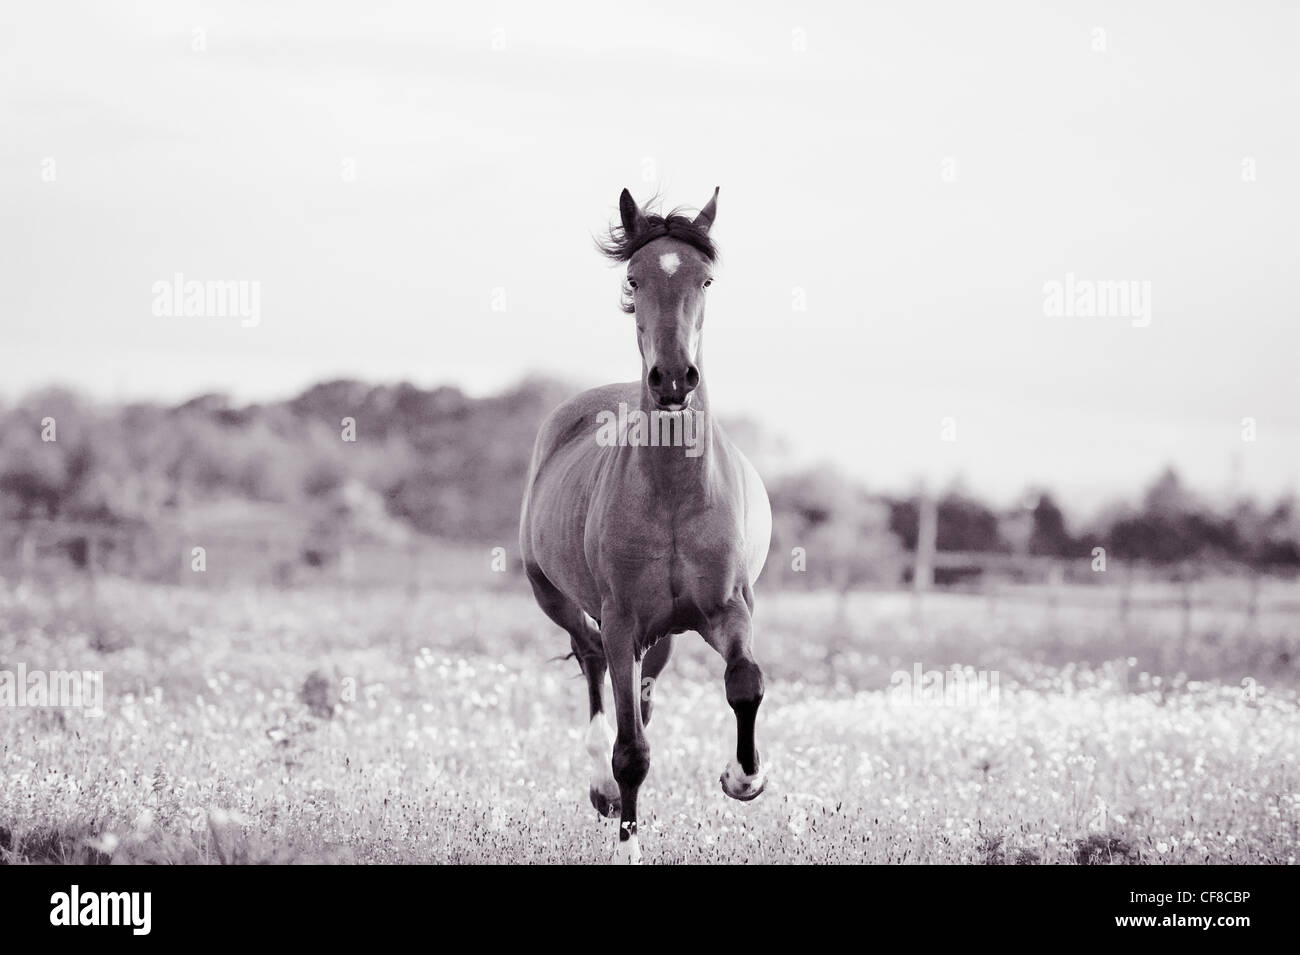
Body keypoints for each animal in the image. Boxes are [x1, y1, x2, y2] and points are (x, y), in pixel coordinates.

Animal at [518, 187, 772, 863]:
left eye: (705, 278)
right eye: (634, 277)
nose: (674, 378)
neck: (675, 496)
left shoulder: (728, 609)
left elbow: (745, 682)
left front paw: (744, 777)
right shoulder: (622, 620)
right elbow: (631, 750)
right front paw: (626, 833)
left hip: (666, 631)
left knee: (646, 689)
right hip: (556, 596)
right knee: (593, 667)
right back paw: (602, 789)